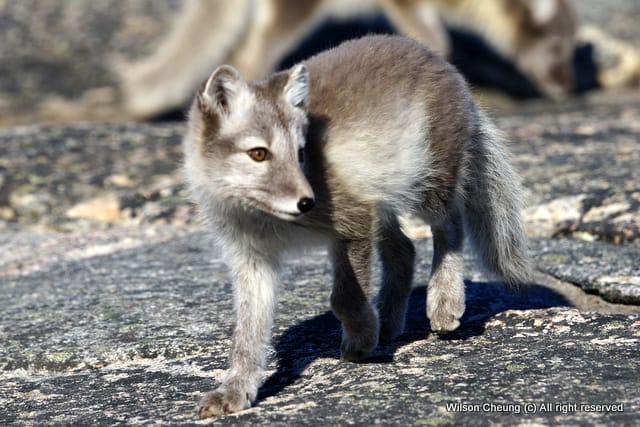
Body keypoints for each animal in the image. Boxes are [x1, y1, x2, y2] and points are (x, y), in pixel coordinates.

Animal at [184, 36, 528, 418]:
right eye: (258, 154)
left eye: (301, 154)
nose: (307, 202)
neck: (264, 219)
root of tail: (440, 60)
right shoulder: (252, 261)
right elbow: (246, 335)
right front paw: (235, 389)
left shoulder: (353, 221)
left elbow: (345, 299)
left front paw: (361, 340)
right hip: (384, 199)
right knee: (405, 250)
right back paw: (390, 323)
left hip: (424, 189)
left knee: (450, 228)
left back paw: (443, 300)